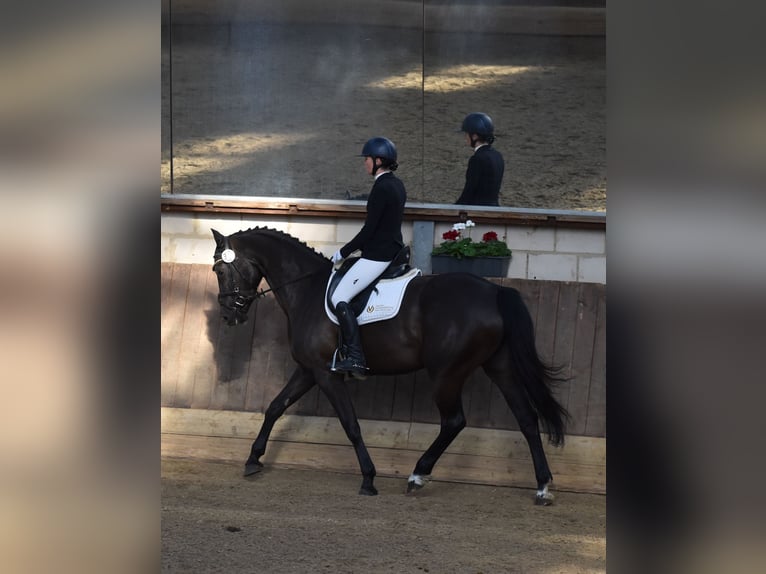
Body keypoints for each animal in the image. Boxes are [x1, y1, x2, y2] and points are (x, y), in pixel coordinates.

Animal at [212, 227, 568, 506]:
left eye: (219, 271)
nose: (230, 315)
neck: (307, 289)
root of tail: (495, 290)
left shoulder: (326, 374)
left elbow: (350, 424)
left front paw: (369, 479)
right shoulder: (309, 370)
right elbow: (275, 407)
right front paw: (253, 459)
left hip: (446, 373)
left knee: (454, 421)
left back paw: (417, 475)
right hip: (499, 366)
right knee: (527, 418)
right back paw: (542, 487)